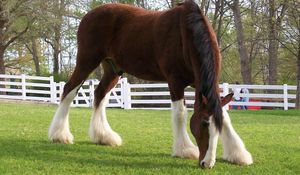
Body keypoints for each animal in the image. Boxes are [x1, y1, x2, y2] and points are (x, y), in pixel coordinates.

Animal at [48, 0, 252, 170]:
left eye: (217, 128)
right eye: (203, 124)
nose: (206, 163)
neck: (186, 35)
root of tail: (89, 15)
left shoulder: (200, 84)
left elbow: (224, 115)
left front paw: (238, 154)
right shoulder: (175, 82)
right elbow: (180, 114)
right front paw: (185, 150)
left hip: (113, 69)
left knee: (100, 94)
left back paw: (104, 137)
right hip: (87, 60)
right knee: (69, 90)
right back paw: (60, 135)